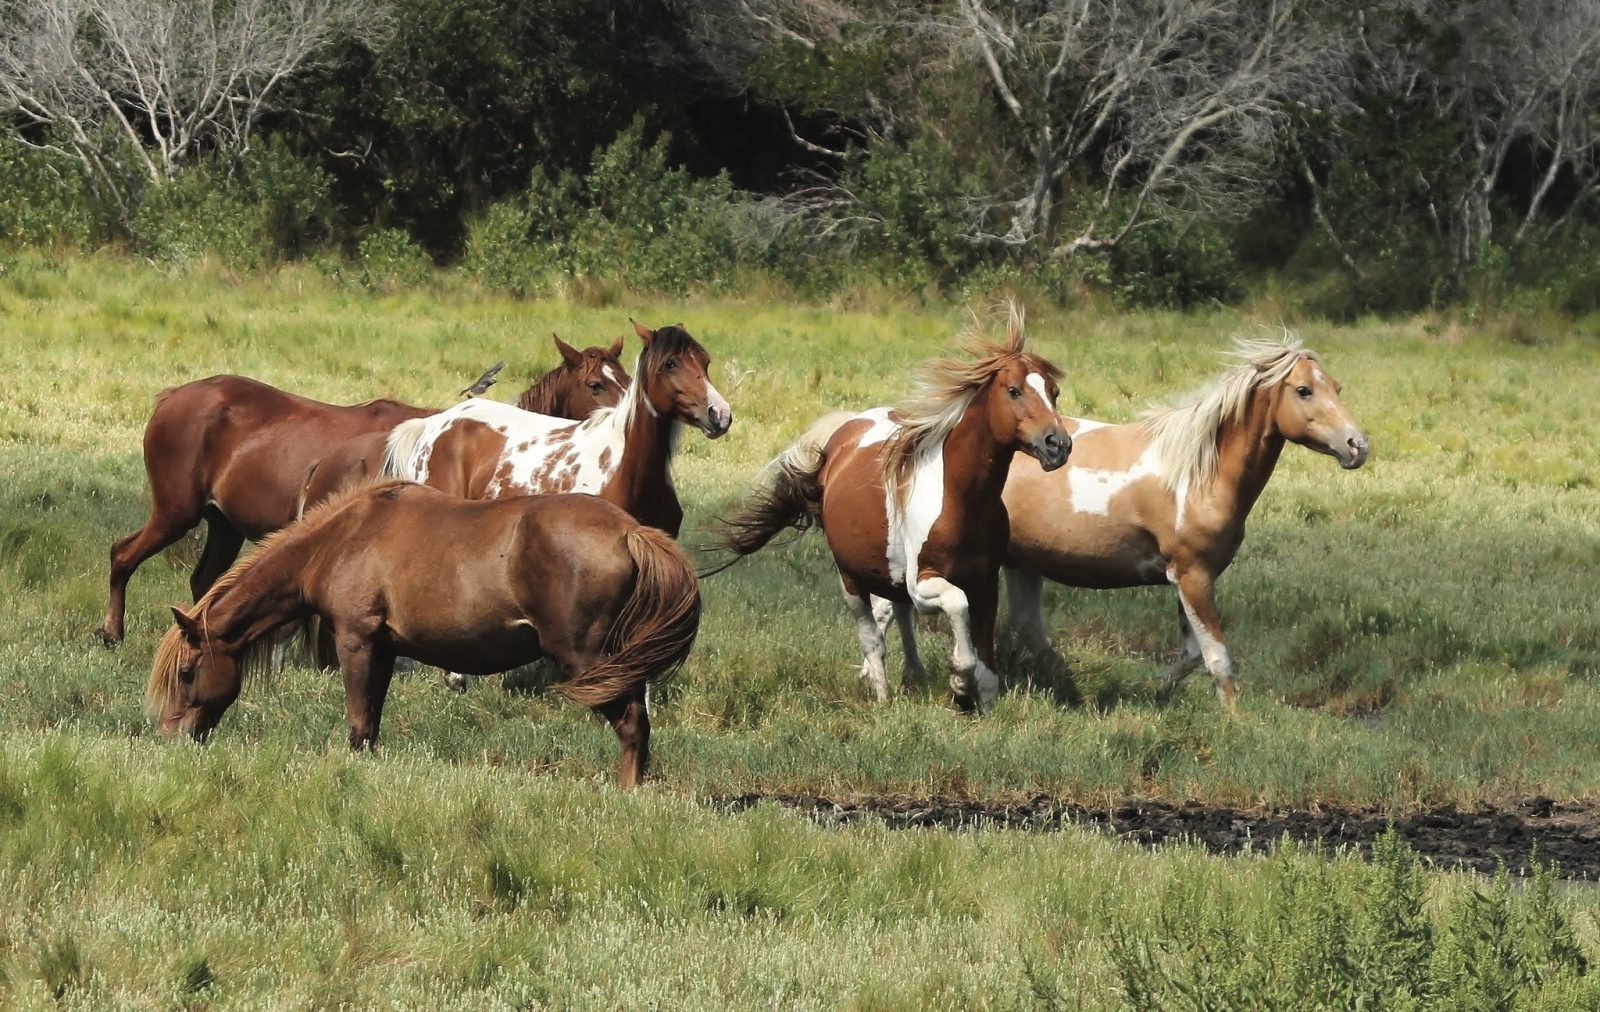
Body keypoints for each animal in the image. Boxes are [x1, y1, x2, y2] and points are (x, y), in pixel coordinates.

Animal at [99, 336, 628, 644]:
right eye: (595, 384)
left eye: (625, 377)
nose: (627, 416)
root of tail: (172, 397)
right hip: (176, 512)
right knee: (122, 555)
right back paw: (112, 632)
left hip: (222, 524)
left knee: (204, 580)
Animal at [144, 480, 701, 788]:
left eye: (188, 672)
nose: (170, 739)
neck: (342, 538)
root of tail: (629, 531)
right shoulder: (386, 650)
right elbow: (371, 723)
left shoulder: (356, 641)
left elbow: (357, 722)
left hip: (589, 661)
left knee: (631, 723)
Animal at [712, 306, 1070, 711]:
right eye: (1014, 391)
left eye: (1054, 392)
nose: (1058, 445)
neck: (960, 499)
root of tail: (844, 432)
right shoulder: (925, 584)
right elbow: (957, 608)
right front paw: (959, 682)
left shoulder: (985, 580)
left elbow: (985, 650)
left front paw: (984, 701)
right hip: (851, 580)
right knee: (872, 638)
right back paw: (882, 695)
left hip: (889, 574)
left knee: (899, 614)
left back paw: (913, 675)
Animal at [1001, 335, 1370, 708]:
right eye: (1304, 390)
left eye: (1337, 387)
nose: (1358, 446)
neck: (1197, 475)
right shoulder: (1194, 575)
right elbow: (1217, 658)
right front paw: (1233, 716)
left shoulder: (1187, 577)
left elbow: (1192, 655)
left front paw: (1148, 687)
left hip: (1022, 562)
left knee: (1026, 625)